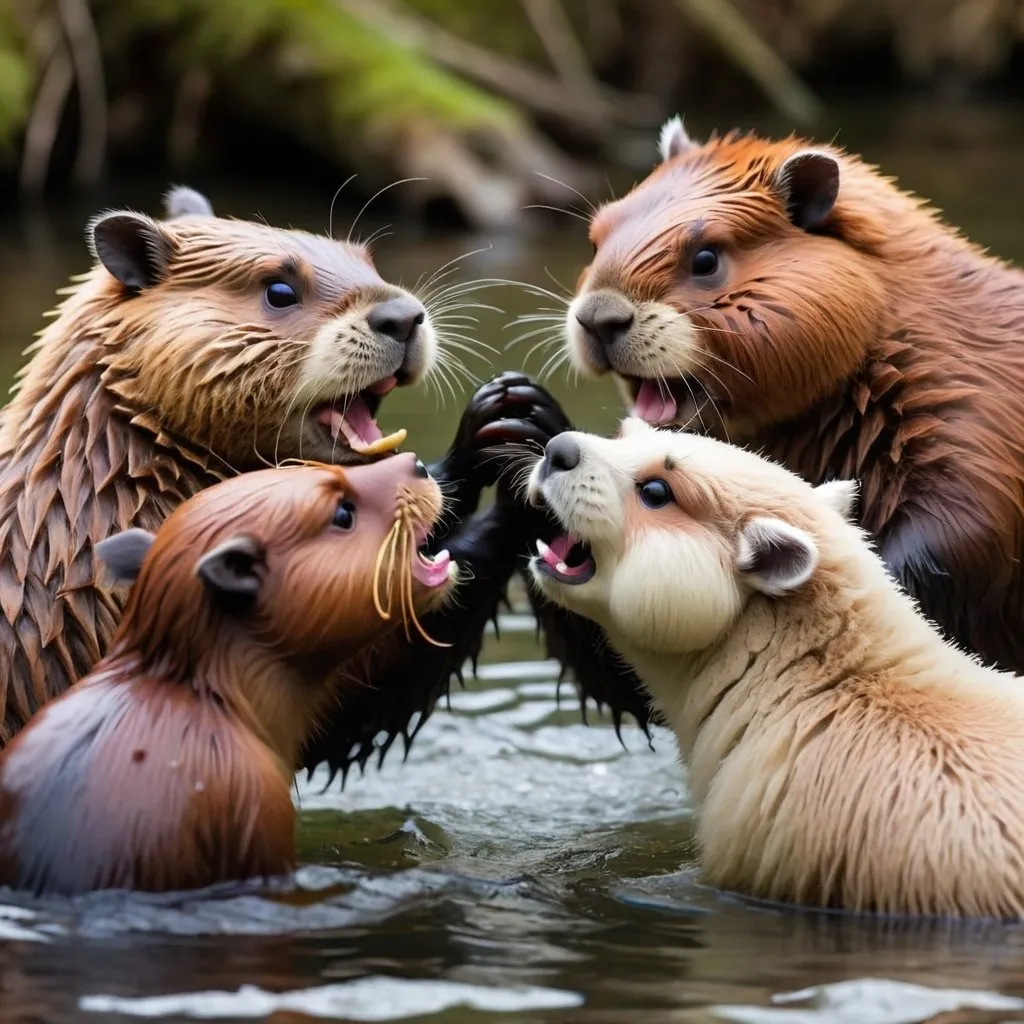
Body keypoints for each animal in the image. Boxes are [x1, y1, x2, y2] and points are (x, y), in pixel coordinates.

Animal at [0, 184, 569, 774]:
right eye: (279, 289)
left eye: (367, 260)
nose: (403, 316)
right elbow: (337, 699)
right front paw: (511, 501)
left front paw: (510, 417)